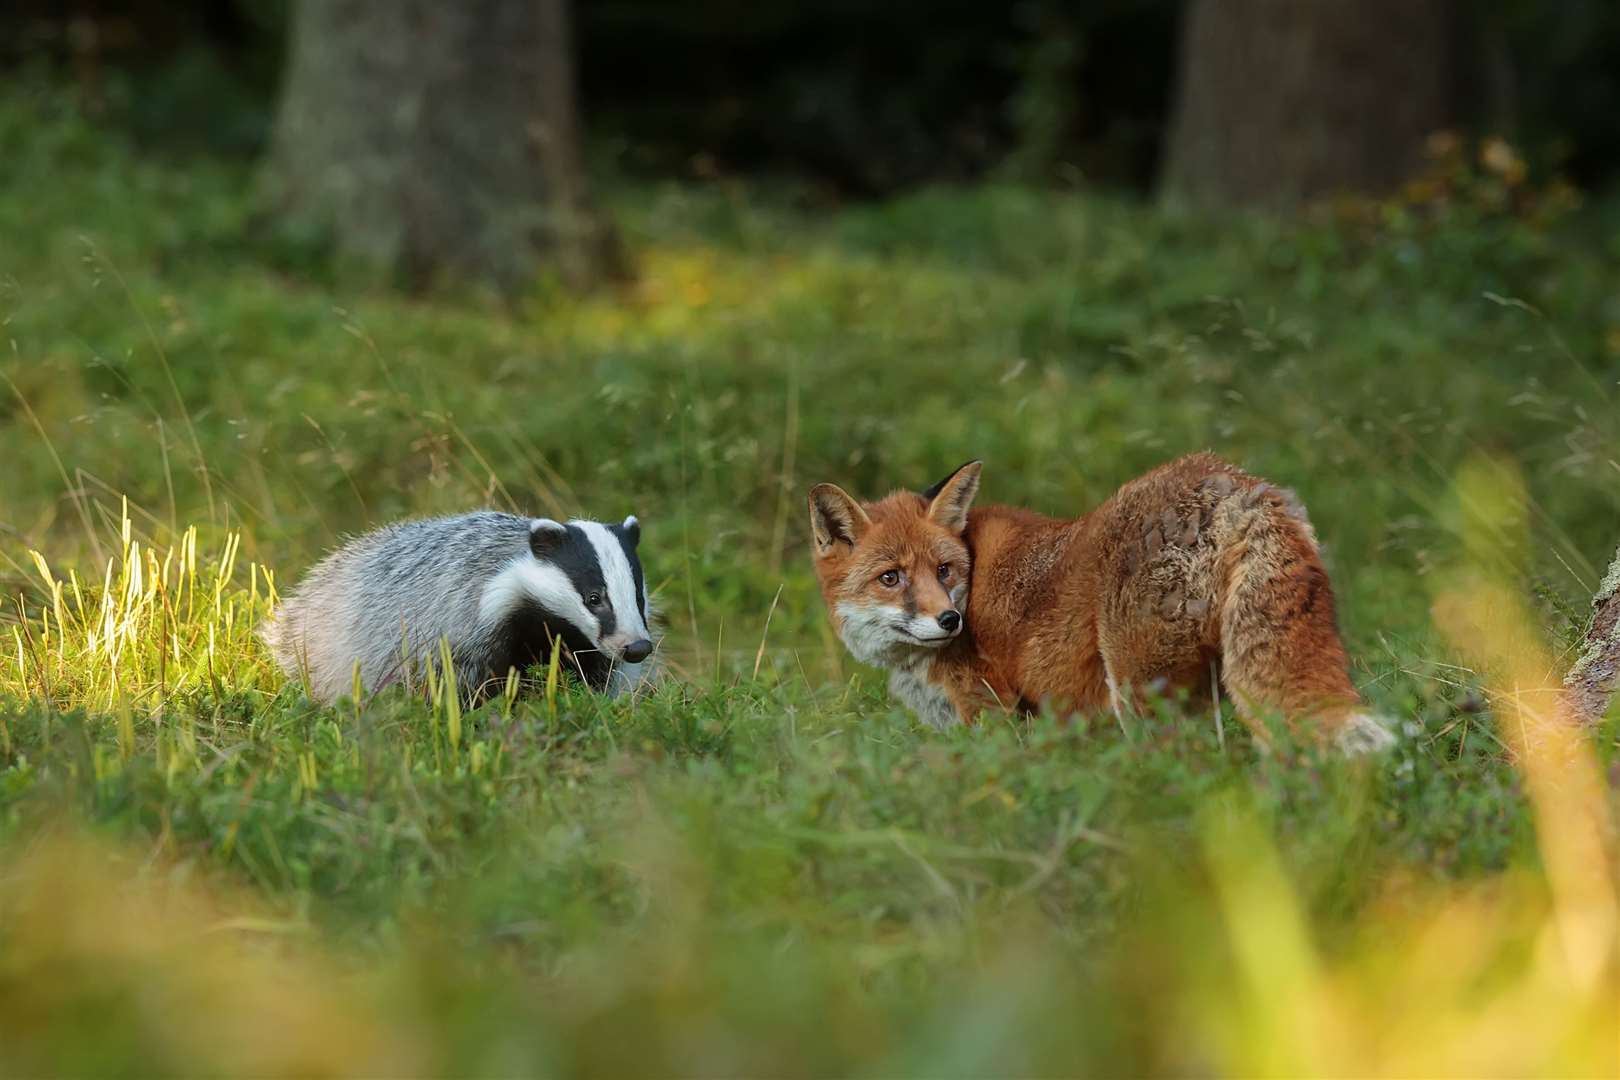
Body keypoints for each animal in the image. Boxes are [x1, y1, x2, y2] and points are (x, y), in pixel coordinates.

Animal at [810, 453, 1393, 751]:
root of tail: (1235, 482)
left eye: (943, 571)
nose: (950, 619)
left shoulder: (991, 714)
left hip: (1142, 696)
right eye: (890, 578)